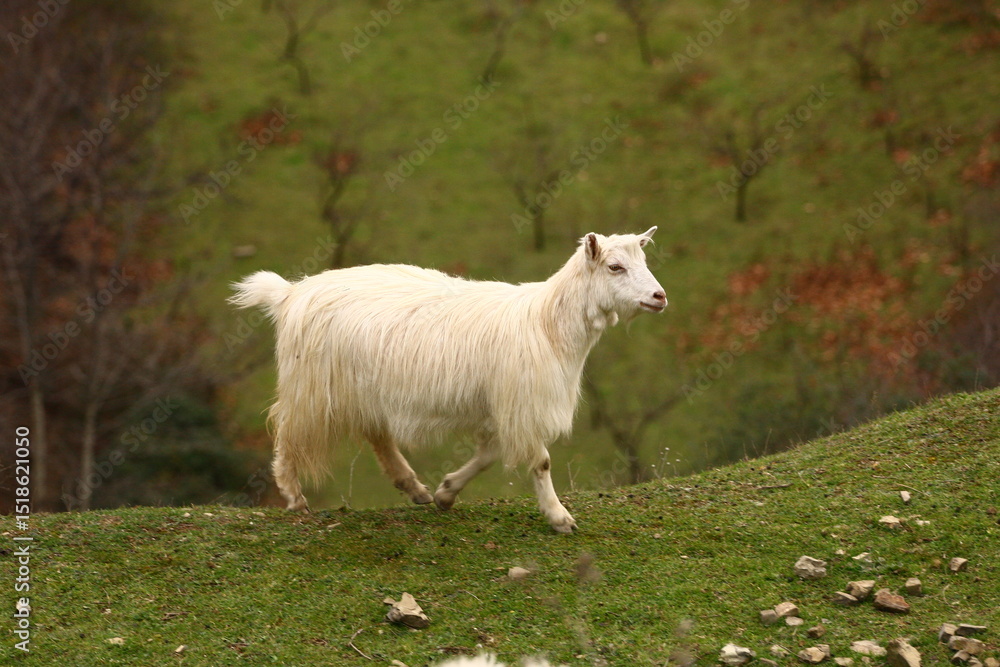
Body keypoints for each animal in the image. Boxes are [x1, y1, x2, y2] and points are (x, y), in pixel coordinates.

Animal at [229, 228, 666, 533]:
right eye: (614, 267)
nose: (660, 297)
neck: (546, 323)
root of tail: (290, 293)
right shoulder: (521, 404)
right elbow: (540, 462)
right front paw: (559, 517)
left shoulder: (498, 406)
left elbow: (488, 455)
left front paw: (446, 492)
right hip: (314, 388)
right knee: (288, 432)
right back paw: (293, 495)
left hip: (361, 388)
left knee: (377, 436)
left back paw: (415, 488)